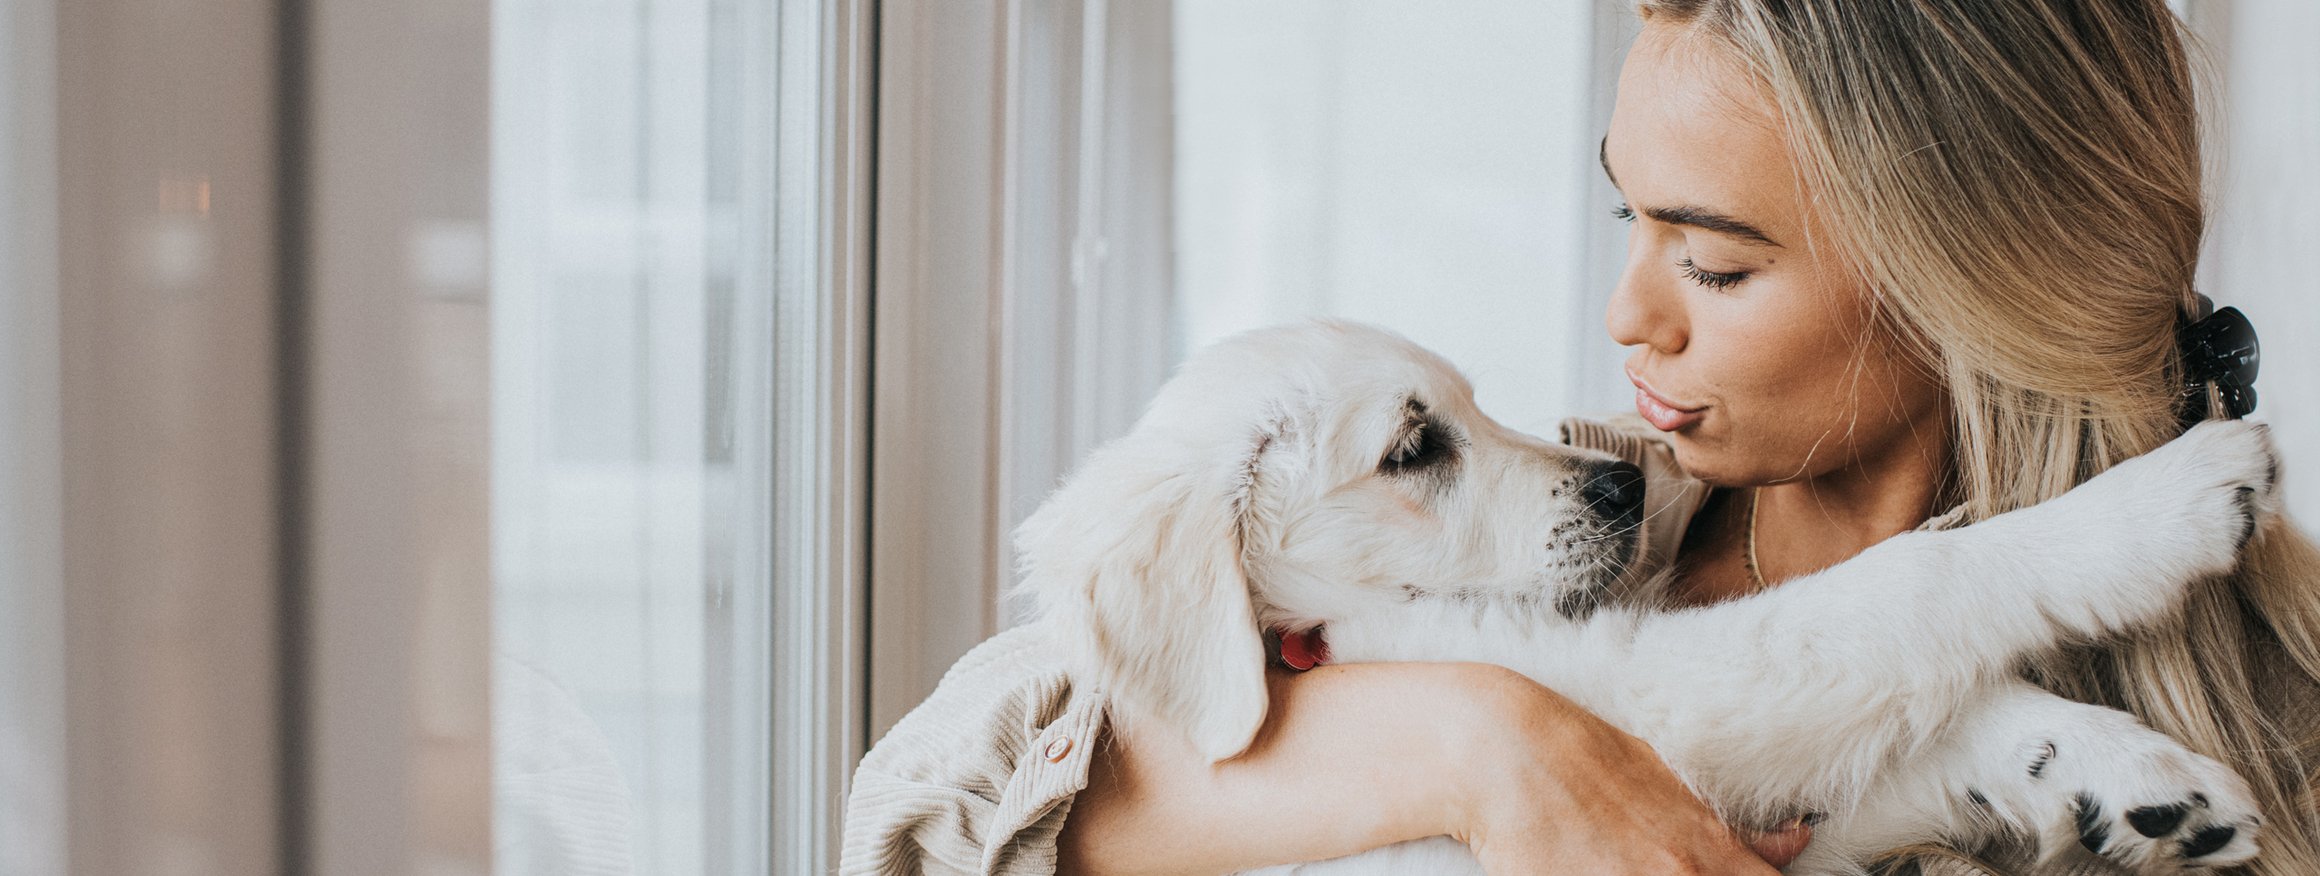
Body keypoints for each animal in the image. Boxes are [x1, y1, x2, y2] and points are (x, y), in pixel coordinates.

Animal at [1011, 324, 2264, 876]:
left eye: (1477, 403)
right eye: (1414, 450)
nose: (1625, 484)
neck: (1327, 625)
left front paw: (2122, 776)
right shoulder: (1638, 700)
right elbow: (1902, 582)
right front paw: (2164, 501)